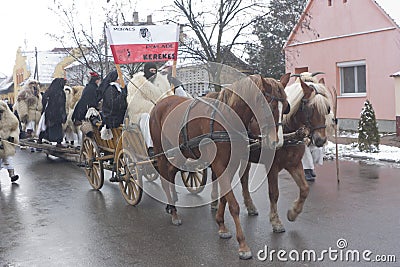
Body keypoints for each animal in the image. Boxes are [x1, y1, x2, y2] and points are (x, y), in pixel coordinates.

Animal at [148, 73, 290, 260]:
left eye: (286, 106)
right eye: (267, 106)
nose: (277, 142)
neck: (227, 117)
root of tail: (159, 104)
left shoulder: (232, 162)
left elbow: (224, 197)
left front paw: (221, 225)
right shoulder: (219, 163)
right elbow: (234, 205)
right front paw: (242, 244)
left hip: (179, 151)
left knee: (171, 173)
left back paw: (172, 204)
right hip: (161, 150)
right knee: (165, 177)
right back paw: (173, 211)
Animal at [238, 73, 334, 232]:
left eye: (327, 108)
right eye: (310, 108)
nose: (321, 140)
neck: (287, 132)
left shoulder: (294, 164)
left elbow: (305, 189)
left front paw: (293, 213)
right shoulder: (272, 167)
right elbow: (274, 193)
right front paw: (276, 221)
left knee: (244, 179)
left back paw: (250, 206)